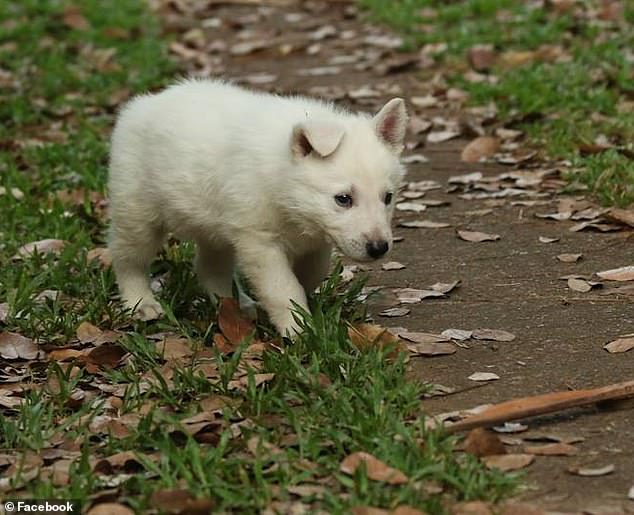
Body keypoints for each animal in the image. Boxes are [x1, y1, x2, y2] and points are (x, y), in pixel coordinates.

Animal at [107, 79, 408, 338]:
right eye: (343, 199)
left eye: (388, 197)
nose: (379, 248)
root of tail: (144, 102)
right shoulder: (260, 241)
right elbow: (282, 287)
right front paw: (299, 330)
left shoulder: (316, 240)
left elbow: (311, 273)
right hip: (136, 211)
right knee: (127, 258)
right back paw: (141, 303)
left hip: (215, 226)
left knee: (209, 266)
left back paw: (235, 305)